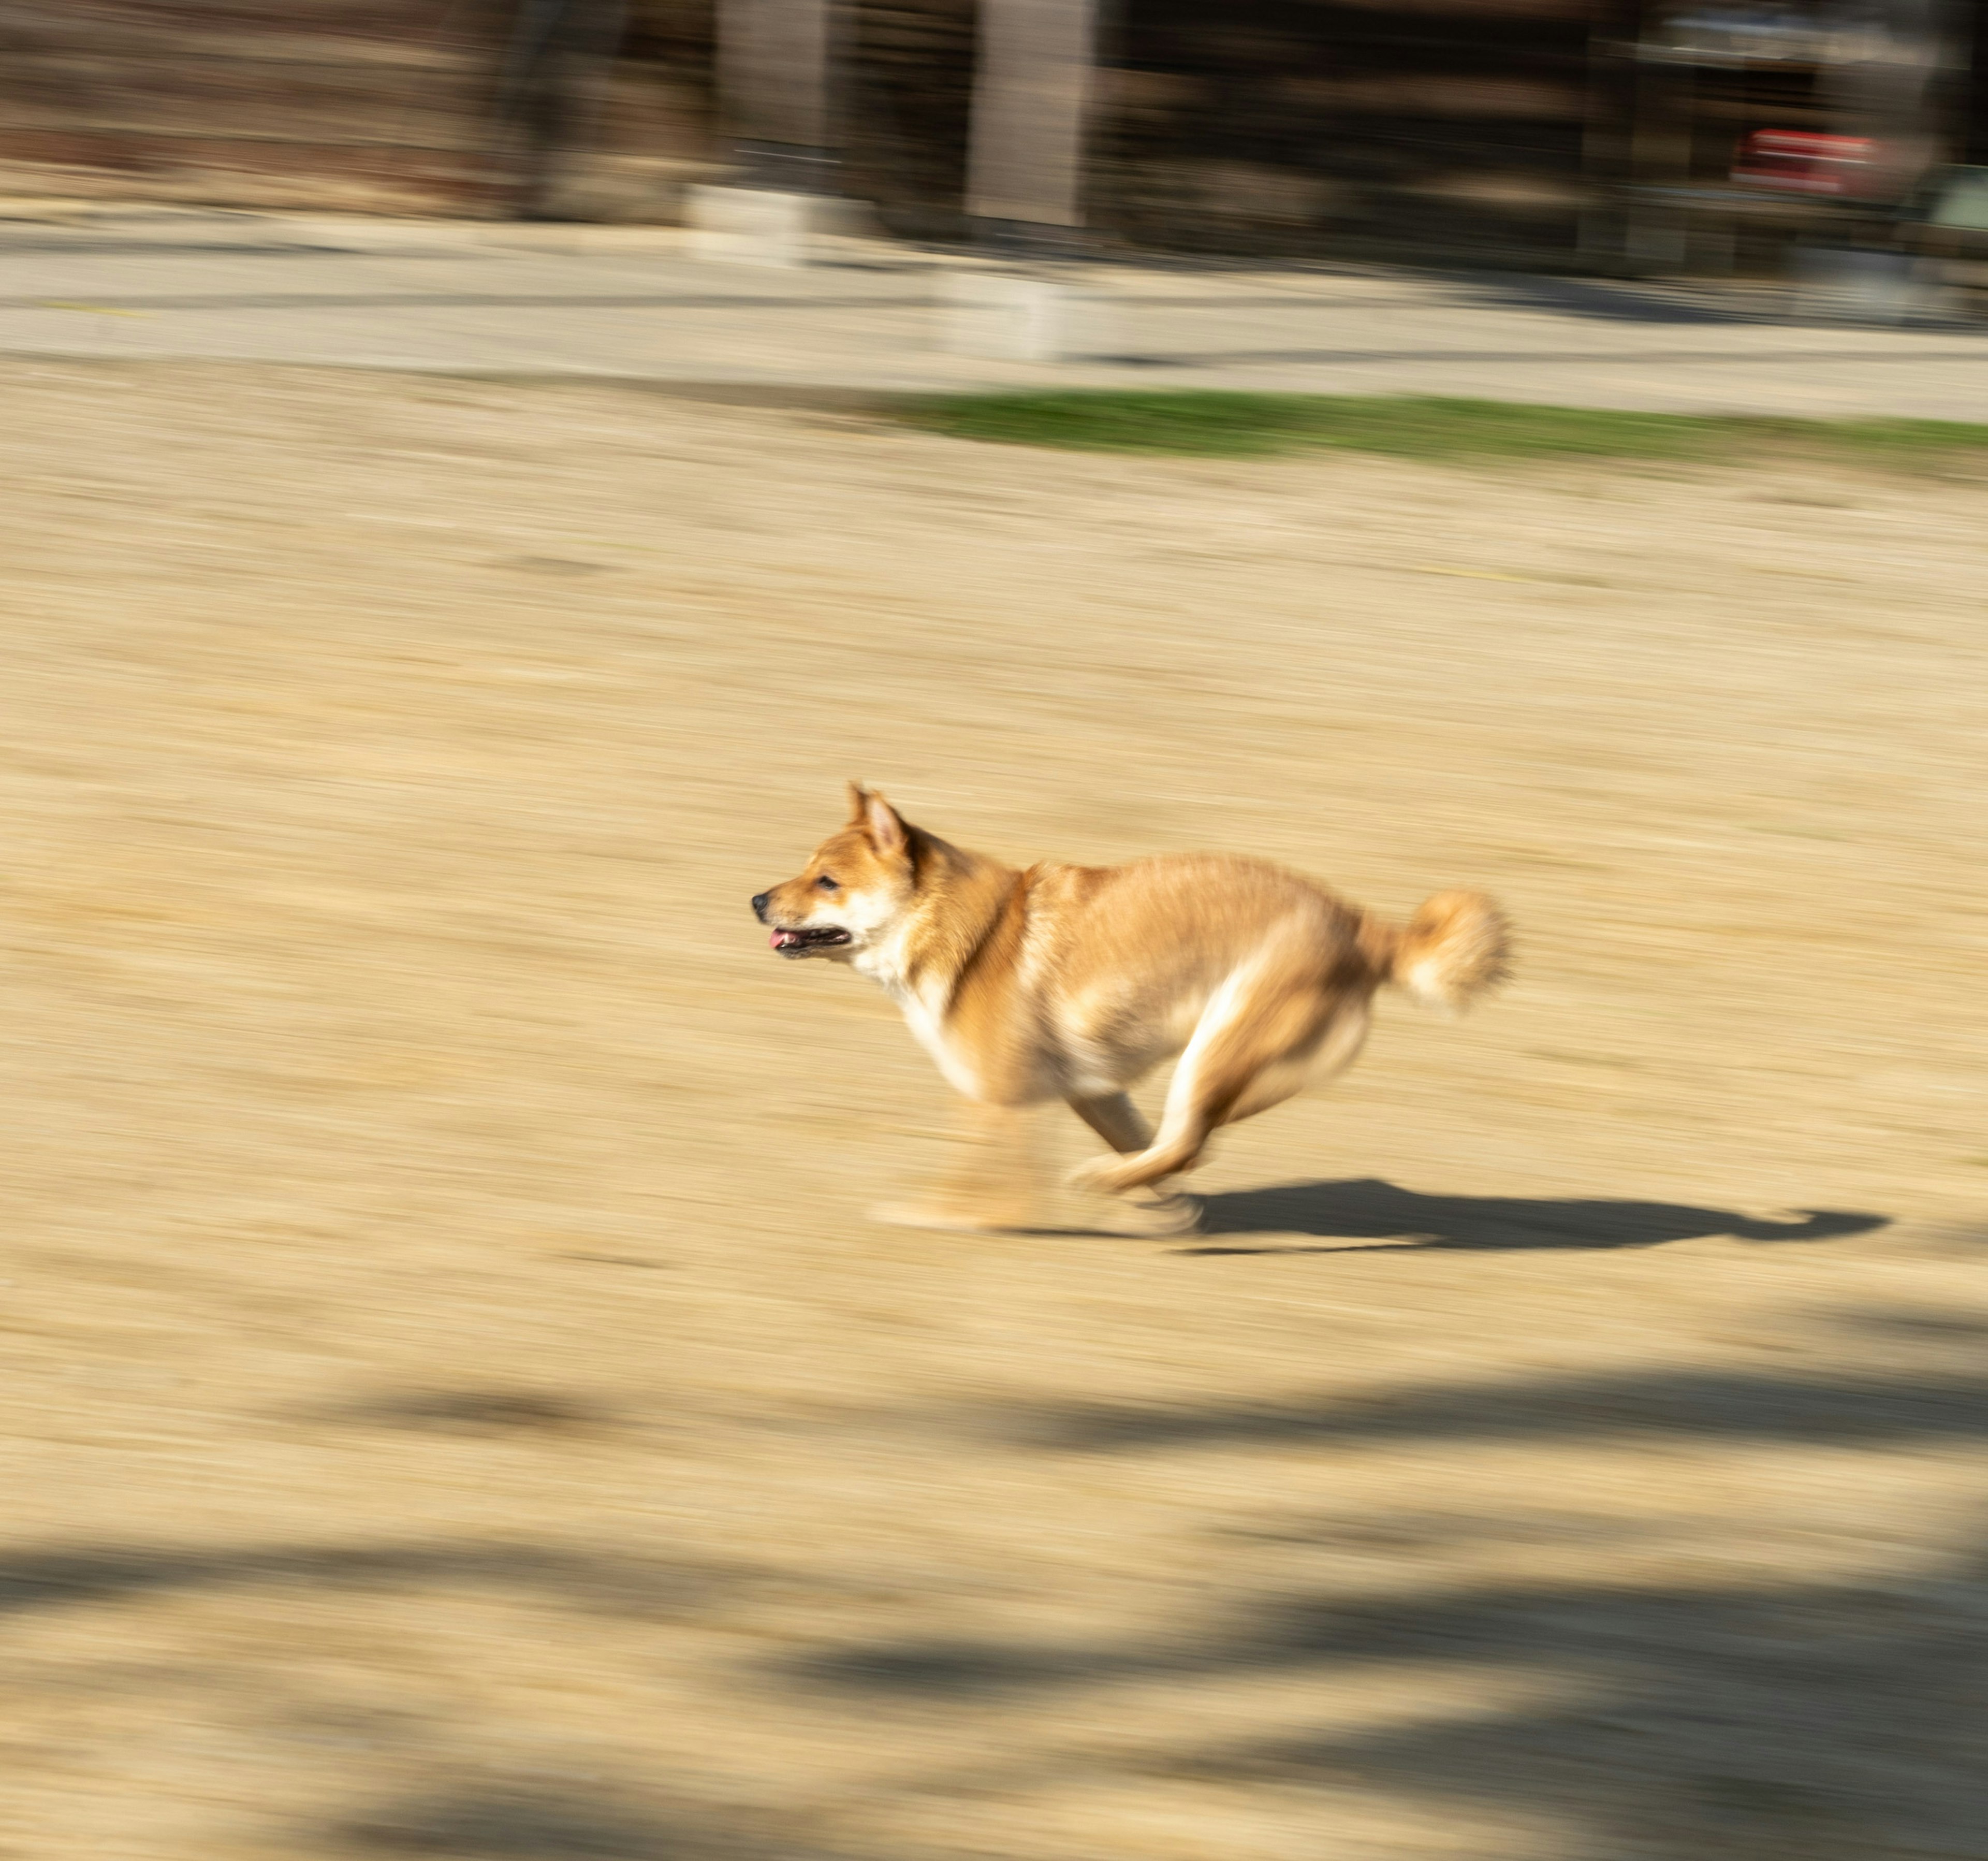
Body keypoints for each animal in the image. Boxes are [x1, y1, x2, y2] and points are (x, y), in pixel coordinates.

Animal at [751, 787, 1511, 1232]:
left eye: (828, 882)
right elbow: (1142, 1146)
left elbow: (990, 1191)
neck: (969, 933)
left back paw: (1098, 1182)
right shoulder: (1093, 1089)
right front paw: (1165, 1211)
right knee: (1184, 1143)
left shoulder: (997, 1101)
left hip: (1215, 1046)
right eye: (807, 867)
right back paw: (1126, 1186)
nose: (758, 899)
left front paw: (941, 1214)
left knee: (1191, 1139)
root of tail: (1362, 925)